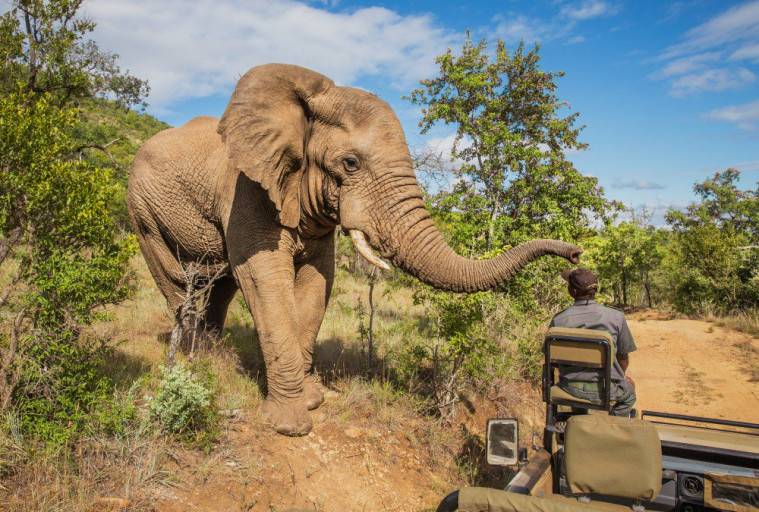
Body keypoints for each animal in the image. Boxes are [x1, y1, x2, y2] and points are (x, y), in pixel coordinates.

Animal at [131, 64, 580, 436]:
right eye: (350, 164)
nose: (575, 254)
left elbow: (317, 281)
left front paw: (313, 399)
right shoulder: (246, 190)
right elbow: (264, 278)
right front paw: (292, 425)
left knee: (220, 284)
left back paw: (213, 355)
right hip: (142, 211)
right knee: (177, 281)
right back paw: (193, 359)